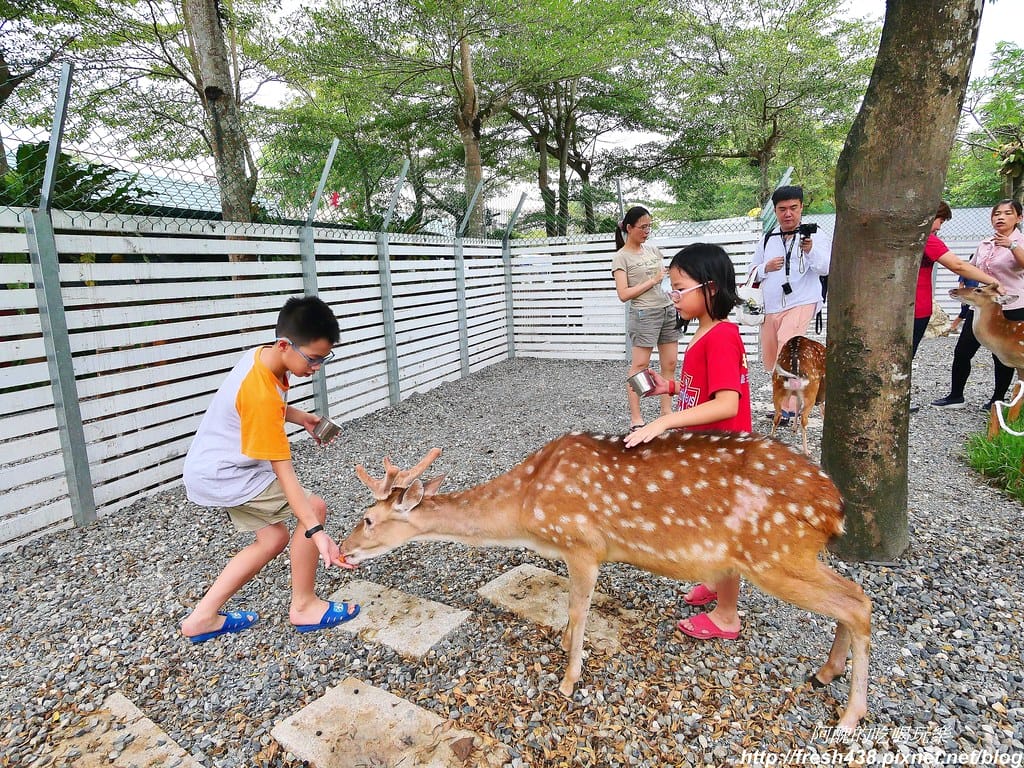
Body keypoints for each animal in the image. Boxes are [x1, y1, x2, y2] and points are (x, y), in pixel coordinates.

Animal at [339, 431, 872, 731]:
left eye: (368, 518)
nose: (342, 549)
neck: (528, 510)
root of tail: (836, 507)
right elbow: (571, 612)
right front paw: (562, 648)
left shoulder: (583, 544)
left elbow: (578, 608)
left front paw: (568, 679)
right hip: (789, 555)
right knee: (851, 600)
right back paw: (825, 673)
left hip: (774, 554)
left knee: (857, 601)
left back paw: (849, 716)